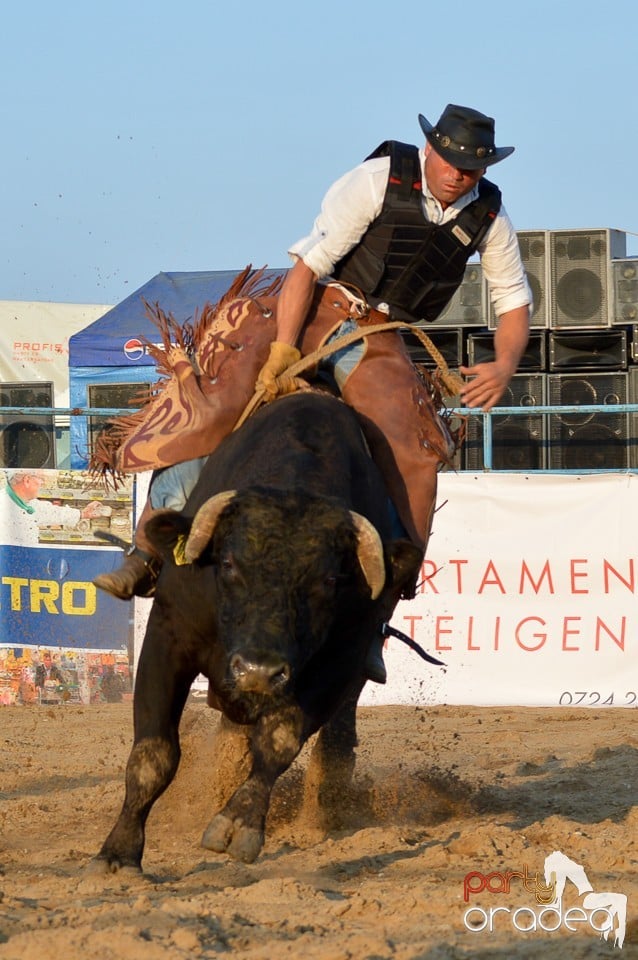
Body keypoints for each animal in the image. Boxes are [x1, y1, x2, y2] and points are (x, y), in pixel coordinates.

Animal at [94, 390, 424, 872]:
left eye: (328, 579)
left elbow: (279, 739)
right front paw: (118, 851)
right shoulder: (167, 638)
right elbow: (154, 754)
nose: (257, 671)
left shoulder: (340, 662)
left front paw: (239, 822)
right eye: (229, 563)